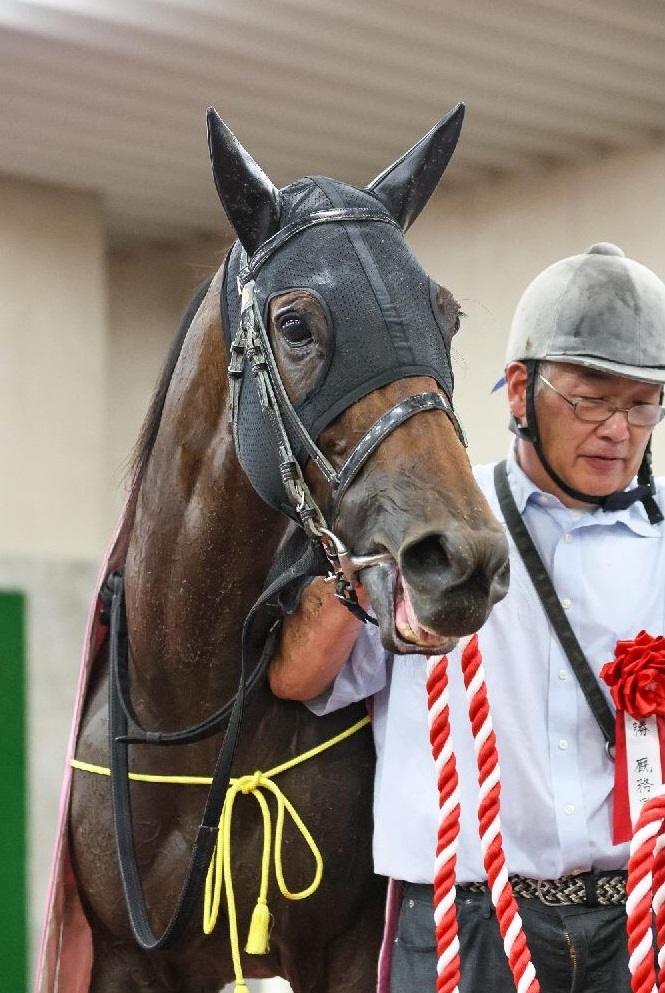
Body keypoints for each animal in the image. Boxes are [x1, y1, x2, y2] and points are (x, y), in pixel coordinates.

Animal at [66, 104, 508, 988]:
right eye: (296, 324)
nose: (460, 555)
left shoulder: (348, 947)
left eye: (445, 316)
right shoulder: (126, 956)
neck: (194, 716)